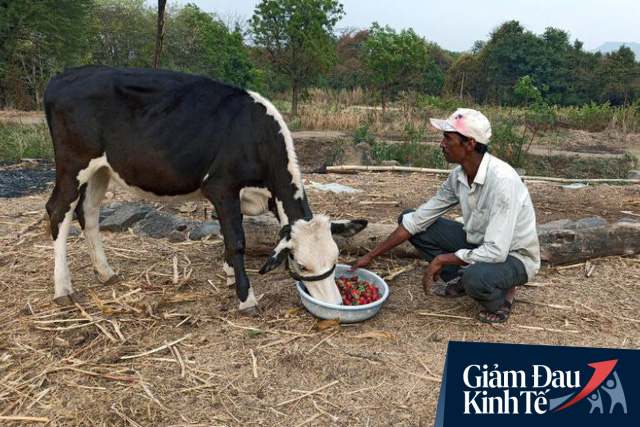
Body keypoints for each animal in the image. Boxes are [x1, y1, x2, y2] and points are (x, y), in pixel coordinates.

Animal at [43, 66, 364, 314]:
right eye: (302, 265)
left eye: (336, 259)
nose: (336, 304)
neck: (255, 136)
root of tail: (64, 75)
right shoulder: (221, 187)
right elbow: (236, 240)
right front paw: (246, 298)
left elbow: (230, 235)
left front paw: (229, 274)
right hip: (73, 163)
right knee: (58, 210)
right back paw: (63, 288)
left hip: (102, 169)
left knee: (88, 212)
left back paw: (105, 272)